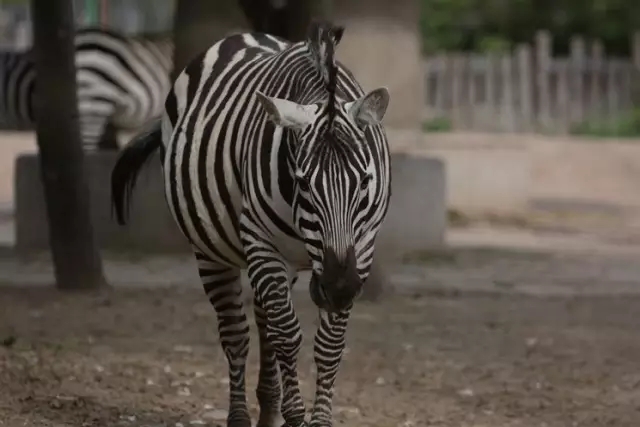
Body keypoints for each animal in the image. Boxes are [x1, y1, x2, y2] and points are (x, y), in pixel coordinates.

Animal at [111, 20, 390, 427]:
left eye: (366, 181)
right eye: (303, 182)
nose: (338, 289)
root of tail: (245, 35)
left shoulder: (363, 246)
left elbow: (328, 344)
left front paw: (317, 418)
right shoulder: (261, 242)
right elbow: (288, 335)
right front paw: (295, 415)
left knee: (263, 325)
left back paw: (268, 409)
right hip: (214, 252)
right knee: (236, 333)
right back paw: (241, 415)